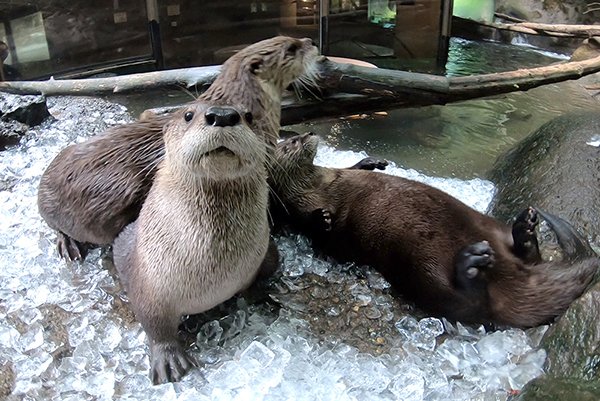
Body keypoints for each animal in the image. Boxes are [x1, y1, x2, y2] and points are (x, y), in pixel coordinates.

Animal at [112, 101, 274, 382]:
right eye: (188, 115)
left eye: (249, 116)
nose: (222, 116)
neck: (213, 273)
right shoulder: (149, 282)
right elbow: (154, 322)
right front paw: (169, 358)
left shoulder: (256, 260)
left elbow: (257, 280)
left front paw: (264, 296)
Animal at [270, 133, 596, 326]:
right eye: (290, 143)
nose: (307, 134)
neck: (321, 183)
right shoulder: (303, 209)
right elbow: (311, 227)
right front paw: (321, 219)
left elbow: (353, 169)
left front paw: (369, 161)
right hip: (424, 271)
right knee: (470, 307)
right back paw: (470, 263)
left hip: (490, 225)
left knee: (527, 257)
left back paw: (525, 230)